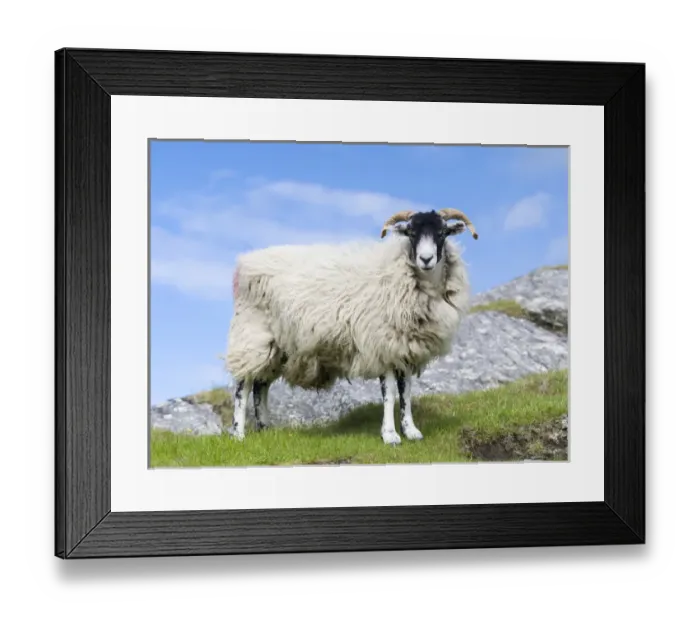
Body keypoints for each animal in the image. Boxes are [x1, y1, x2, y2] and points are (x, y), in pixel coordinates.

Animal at [224, 208, 479, 445]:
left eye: (442, 233)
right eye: (412, 233)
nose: (426, 259)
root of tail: (245, 262)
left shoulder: (404, 347)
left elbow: (406, 392)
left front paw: (411, 431)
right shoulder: (382, 344)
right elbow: (390, 393)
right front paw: (390, 435)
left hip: (277, 346)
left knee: (260, 384)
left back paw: (265, 429)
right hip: (251, 335)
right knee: (243, 386)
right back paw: (238, 434)